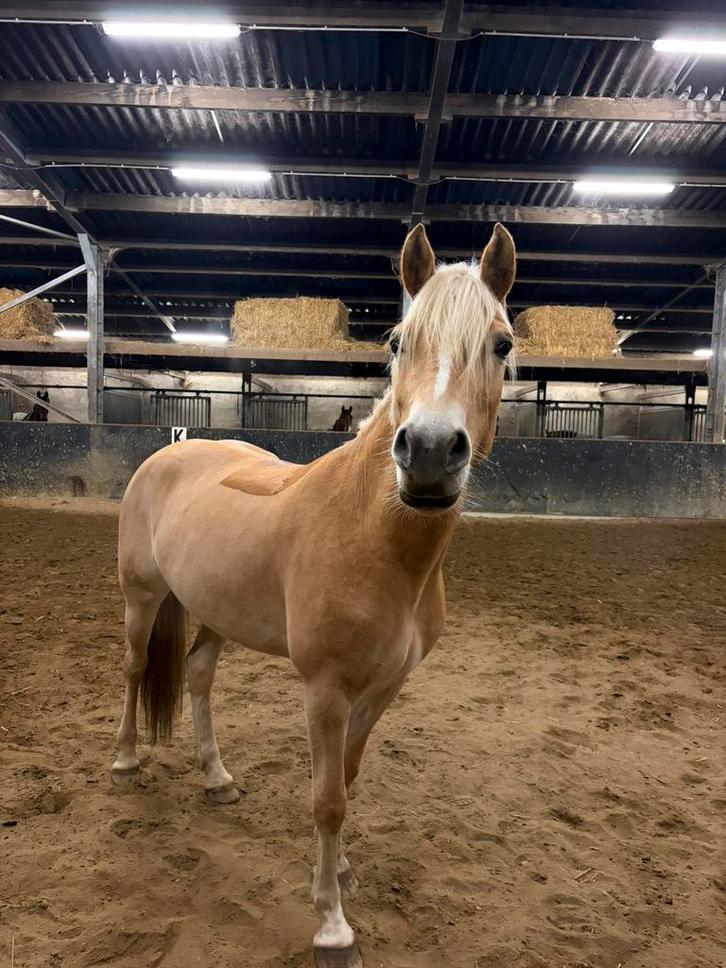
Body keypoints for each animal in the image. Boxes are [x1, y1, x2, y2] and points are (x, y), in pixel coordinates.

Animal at [112, 222, 516, 968]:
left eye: (501, 344)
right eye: (397, 341)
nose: (428, 453)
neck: (373, 535)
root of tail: (169, 451)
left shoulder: (385, 687)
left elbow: (349, 779)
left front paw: (342, 872)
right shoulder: (325, 689)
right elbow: (327, 798)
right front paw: (332, 924)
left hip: (214, 612)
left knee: (198, 675)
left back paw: (216, 778)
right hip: (141, 600)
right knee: (133, 668)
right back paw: (125, 763)